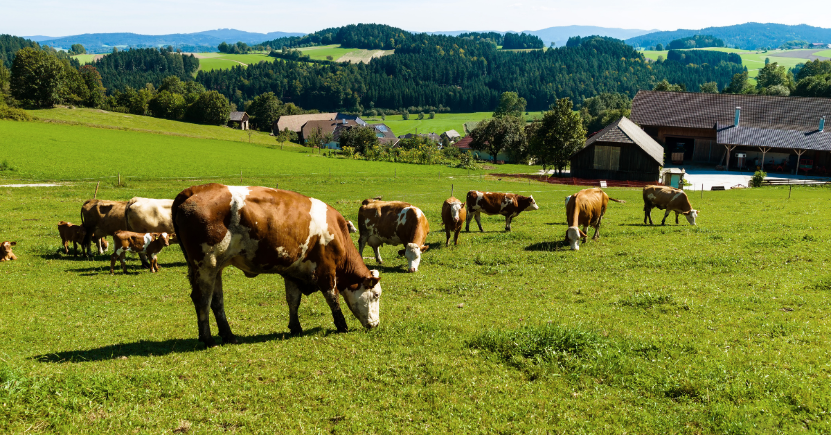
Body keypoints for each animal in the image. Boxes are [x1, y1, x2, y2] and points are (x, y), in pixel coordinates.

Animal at [176, 184, 384, 348]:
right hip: (207, 265)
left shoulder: (293, 272)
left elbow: (293, 300)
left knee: (217, 301)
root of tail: (195, 190)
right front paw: (341, 325)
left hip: (215, 267)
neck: (337, 231)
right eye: (375, 295)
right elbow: (333, 299)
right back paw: (208, 339)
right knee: (203, 299)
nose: (375, 324)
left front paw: (296, 327)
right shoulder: (326, 271)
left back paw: (229, 336)